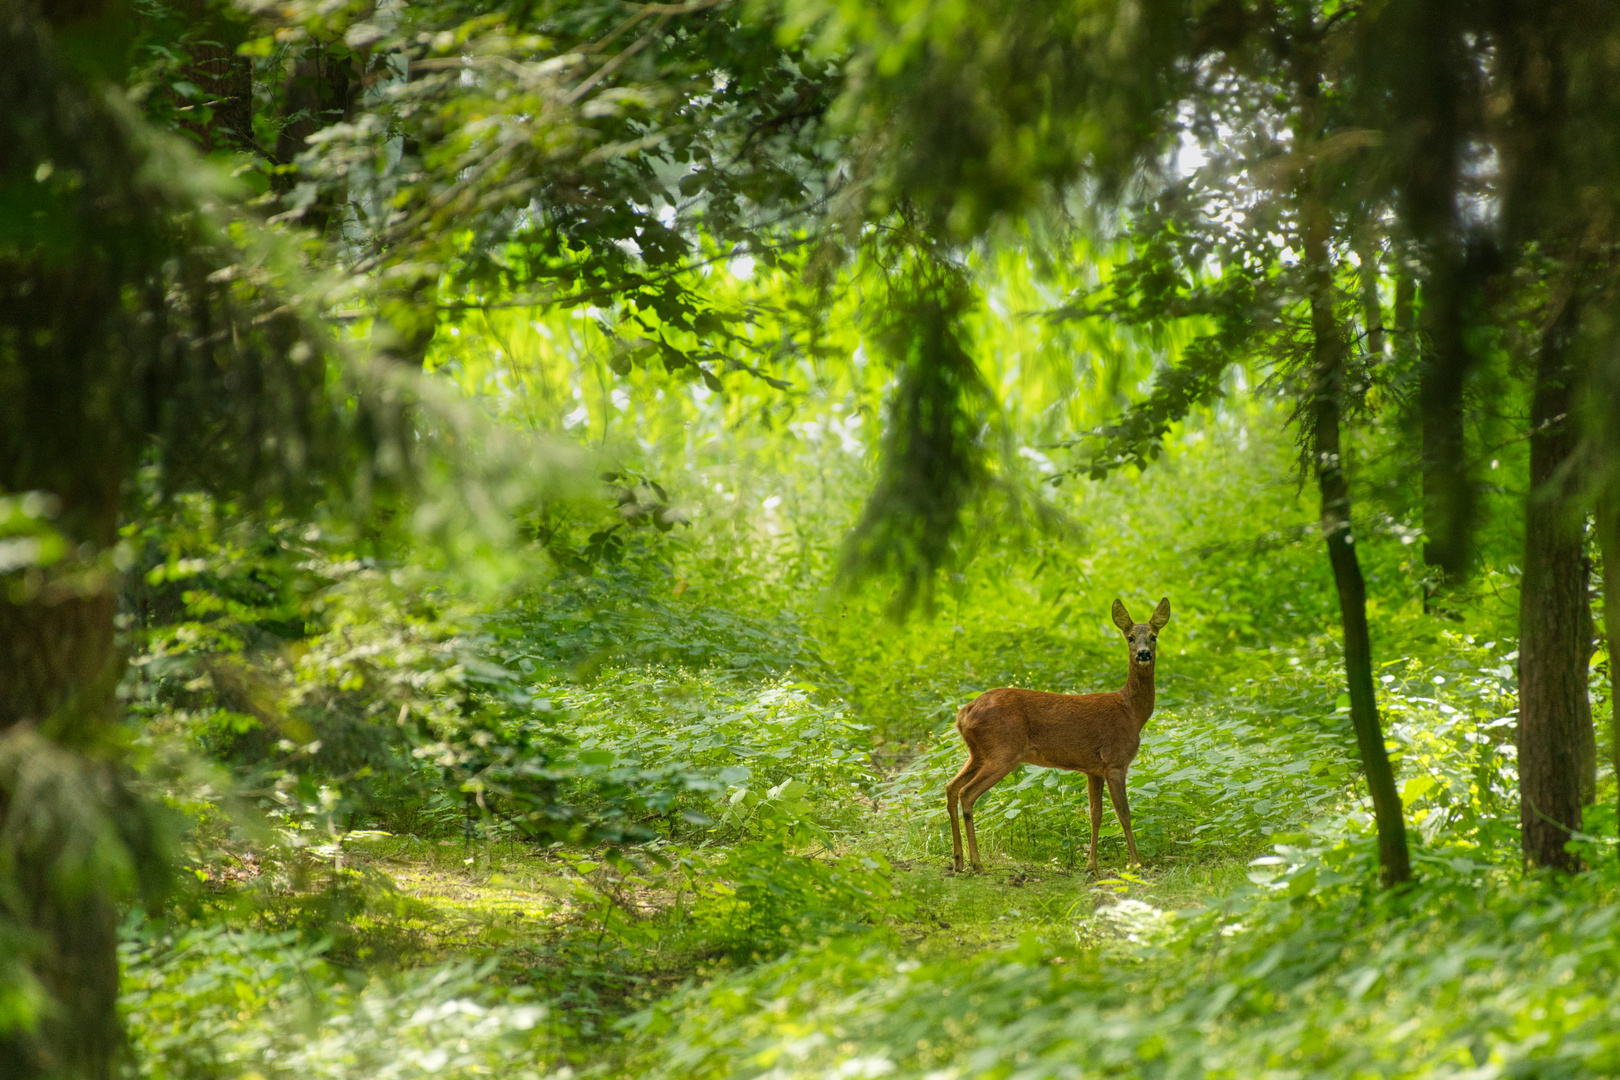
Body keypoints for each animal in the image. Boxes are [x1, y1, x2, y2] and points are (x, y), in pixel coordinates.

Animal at [946, 595, 1172, 874]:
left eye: (1153, 636)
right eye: (1130, 637)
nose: (1143, 653)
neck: (1131, 711)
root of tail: (963, 714)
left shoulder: (1094, 769)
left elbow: (1095, 814)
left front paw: (1091, 867)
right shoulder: (1115, 761)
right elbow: (1124, 813)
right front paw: (1135, 863)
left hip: (978, 752)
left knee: (951, 787)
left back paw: (958, 860)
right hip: (1003, 752)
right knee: (966, 793)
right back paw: (976, 863)